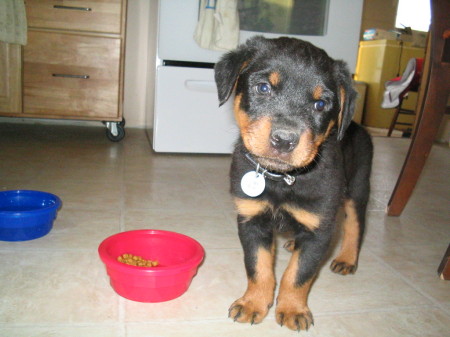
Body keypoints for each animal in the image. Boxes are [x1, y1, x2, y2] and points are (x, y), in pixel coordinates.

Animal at [214, 35, 372, 330]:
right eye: (263, 87)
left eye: (320, 104)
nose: (284, 140)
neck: (281, 179)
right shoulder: (251, 219)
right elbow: (258, 267)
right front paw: (252, 303)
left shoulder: (319, 227)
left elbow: (298, 274)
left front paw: (292, 309)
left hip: (358, 187)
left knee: (355, 226)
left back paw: (346, 258)